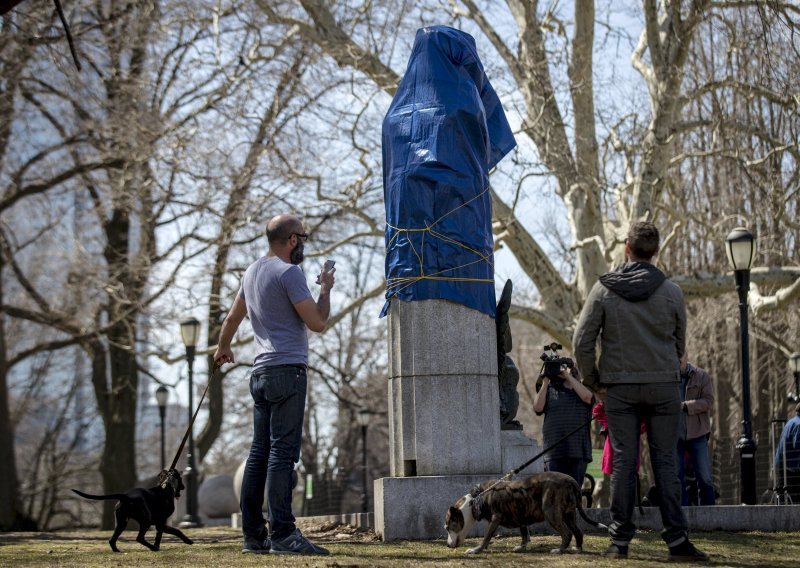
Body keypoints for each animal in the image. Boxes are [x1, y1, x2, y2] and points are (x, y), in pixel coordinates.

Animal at [444, 470, 608, 556]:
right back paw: (578, 548)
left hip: (552, 514)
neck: (476, 499)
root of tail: (571, 481)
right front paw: (522, 547)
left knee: (567, 533)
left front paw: (476, 549)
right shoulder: (520, 515)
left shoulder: (495, 519)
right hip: (569, 514)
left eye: (449, 527)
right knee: (578, 531)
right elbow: (524, 533)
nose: (447, 545)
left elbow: (486, 537)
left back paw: (560, 549)